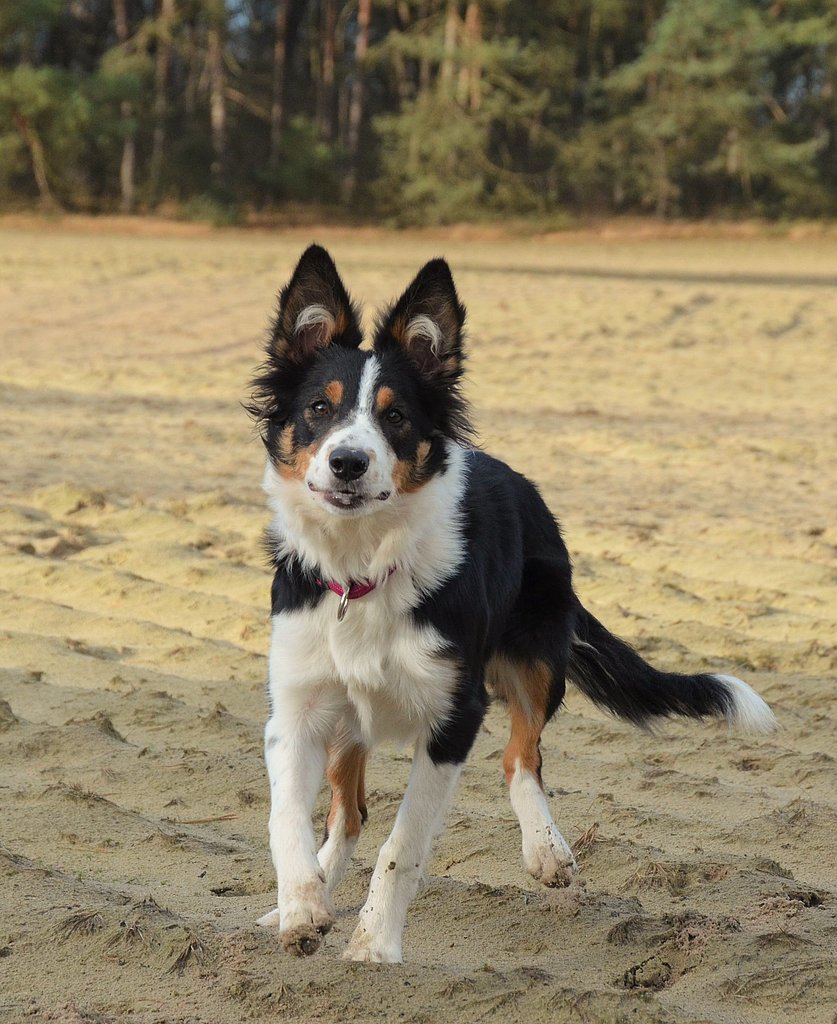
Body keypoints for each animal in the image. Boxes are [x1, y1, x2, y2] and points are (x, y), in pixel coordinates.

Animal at [248, 245, 775, 964]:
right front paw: (301, 907)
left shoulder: (454, 716)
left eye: (395, 416)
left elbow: (403, 846)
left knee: (521, 755)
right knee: (349, 811)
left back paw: (545, 850)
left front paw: (375, 943)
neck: (363, 570)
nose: (348, 463)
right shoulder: (298, 705)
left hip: (534, 657)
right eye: (318, 410)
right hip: (348, 712)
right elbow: (286, 820)